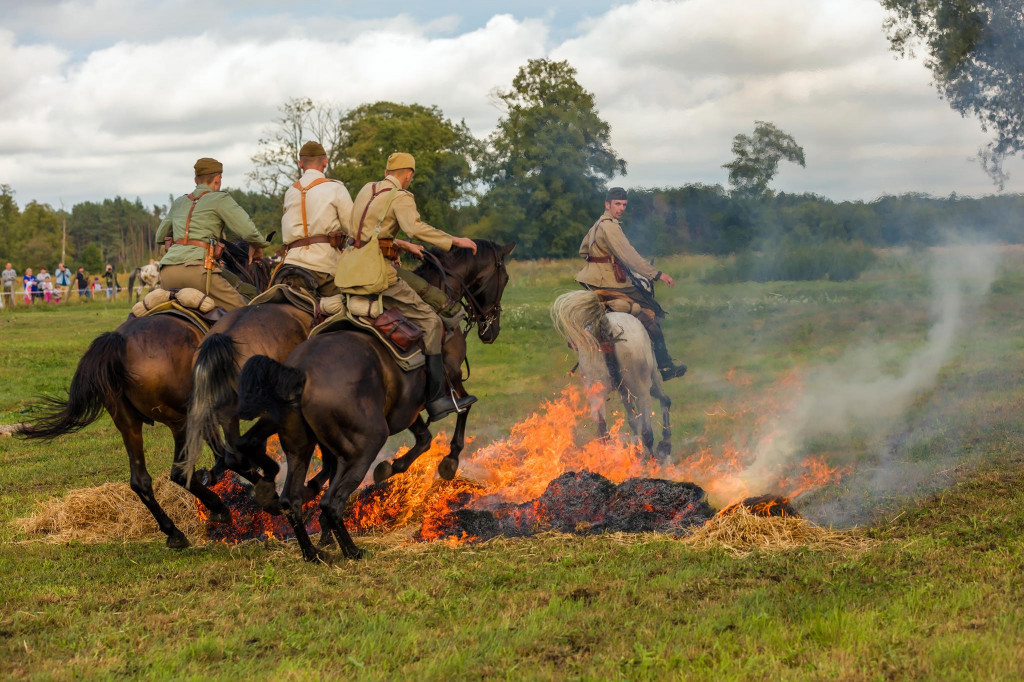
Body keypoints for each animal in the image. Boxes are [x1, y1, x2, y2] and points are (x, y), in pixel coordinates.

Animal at [17, 240, 272, 548]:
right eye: (262, 268)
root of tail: (119, 344)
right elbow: (230, 455)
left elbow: (223, 454)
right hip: (179, 422)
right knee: (179, 471)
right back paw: (220, 508)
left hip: (127, 422)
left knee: (141, 481)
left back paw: (176, 530)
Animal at [235, 238, 516, 557]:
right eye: (505, 277)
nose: (491, 330)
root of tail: (301, 373)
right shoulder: (451, 381)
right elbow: (461, 411)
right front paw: (450, 460)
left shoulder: (405, 407)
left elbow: (423, 439)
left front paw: (391, 467)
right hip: (363, 445)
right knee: (331, 502)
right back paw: (351, 551)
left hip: (299, 448)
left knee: (291, 500)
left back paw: (314, 553)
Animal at [552, 288, 671, 454]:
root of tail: (606, 328)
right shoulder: (652, 380)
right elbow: (663, 400)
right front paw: (664, 442)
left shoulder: (623, 391)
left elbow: (632, 419)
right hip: (642, 390)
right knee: (648, 431)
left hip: (596, 394)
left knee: (604, 431)